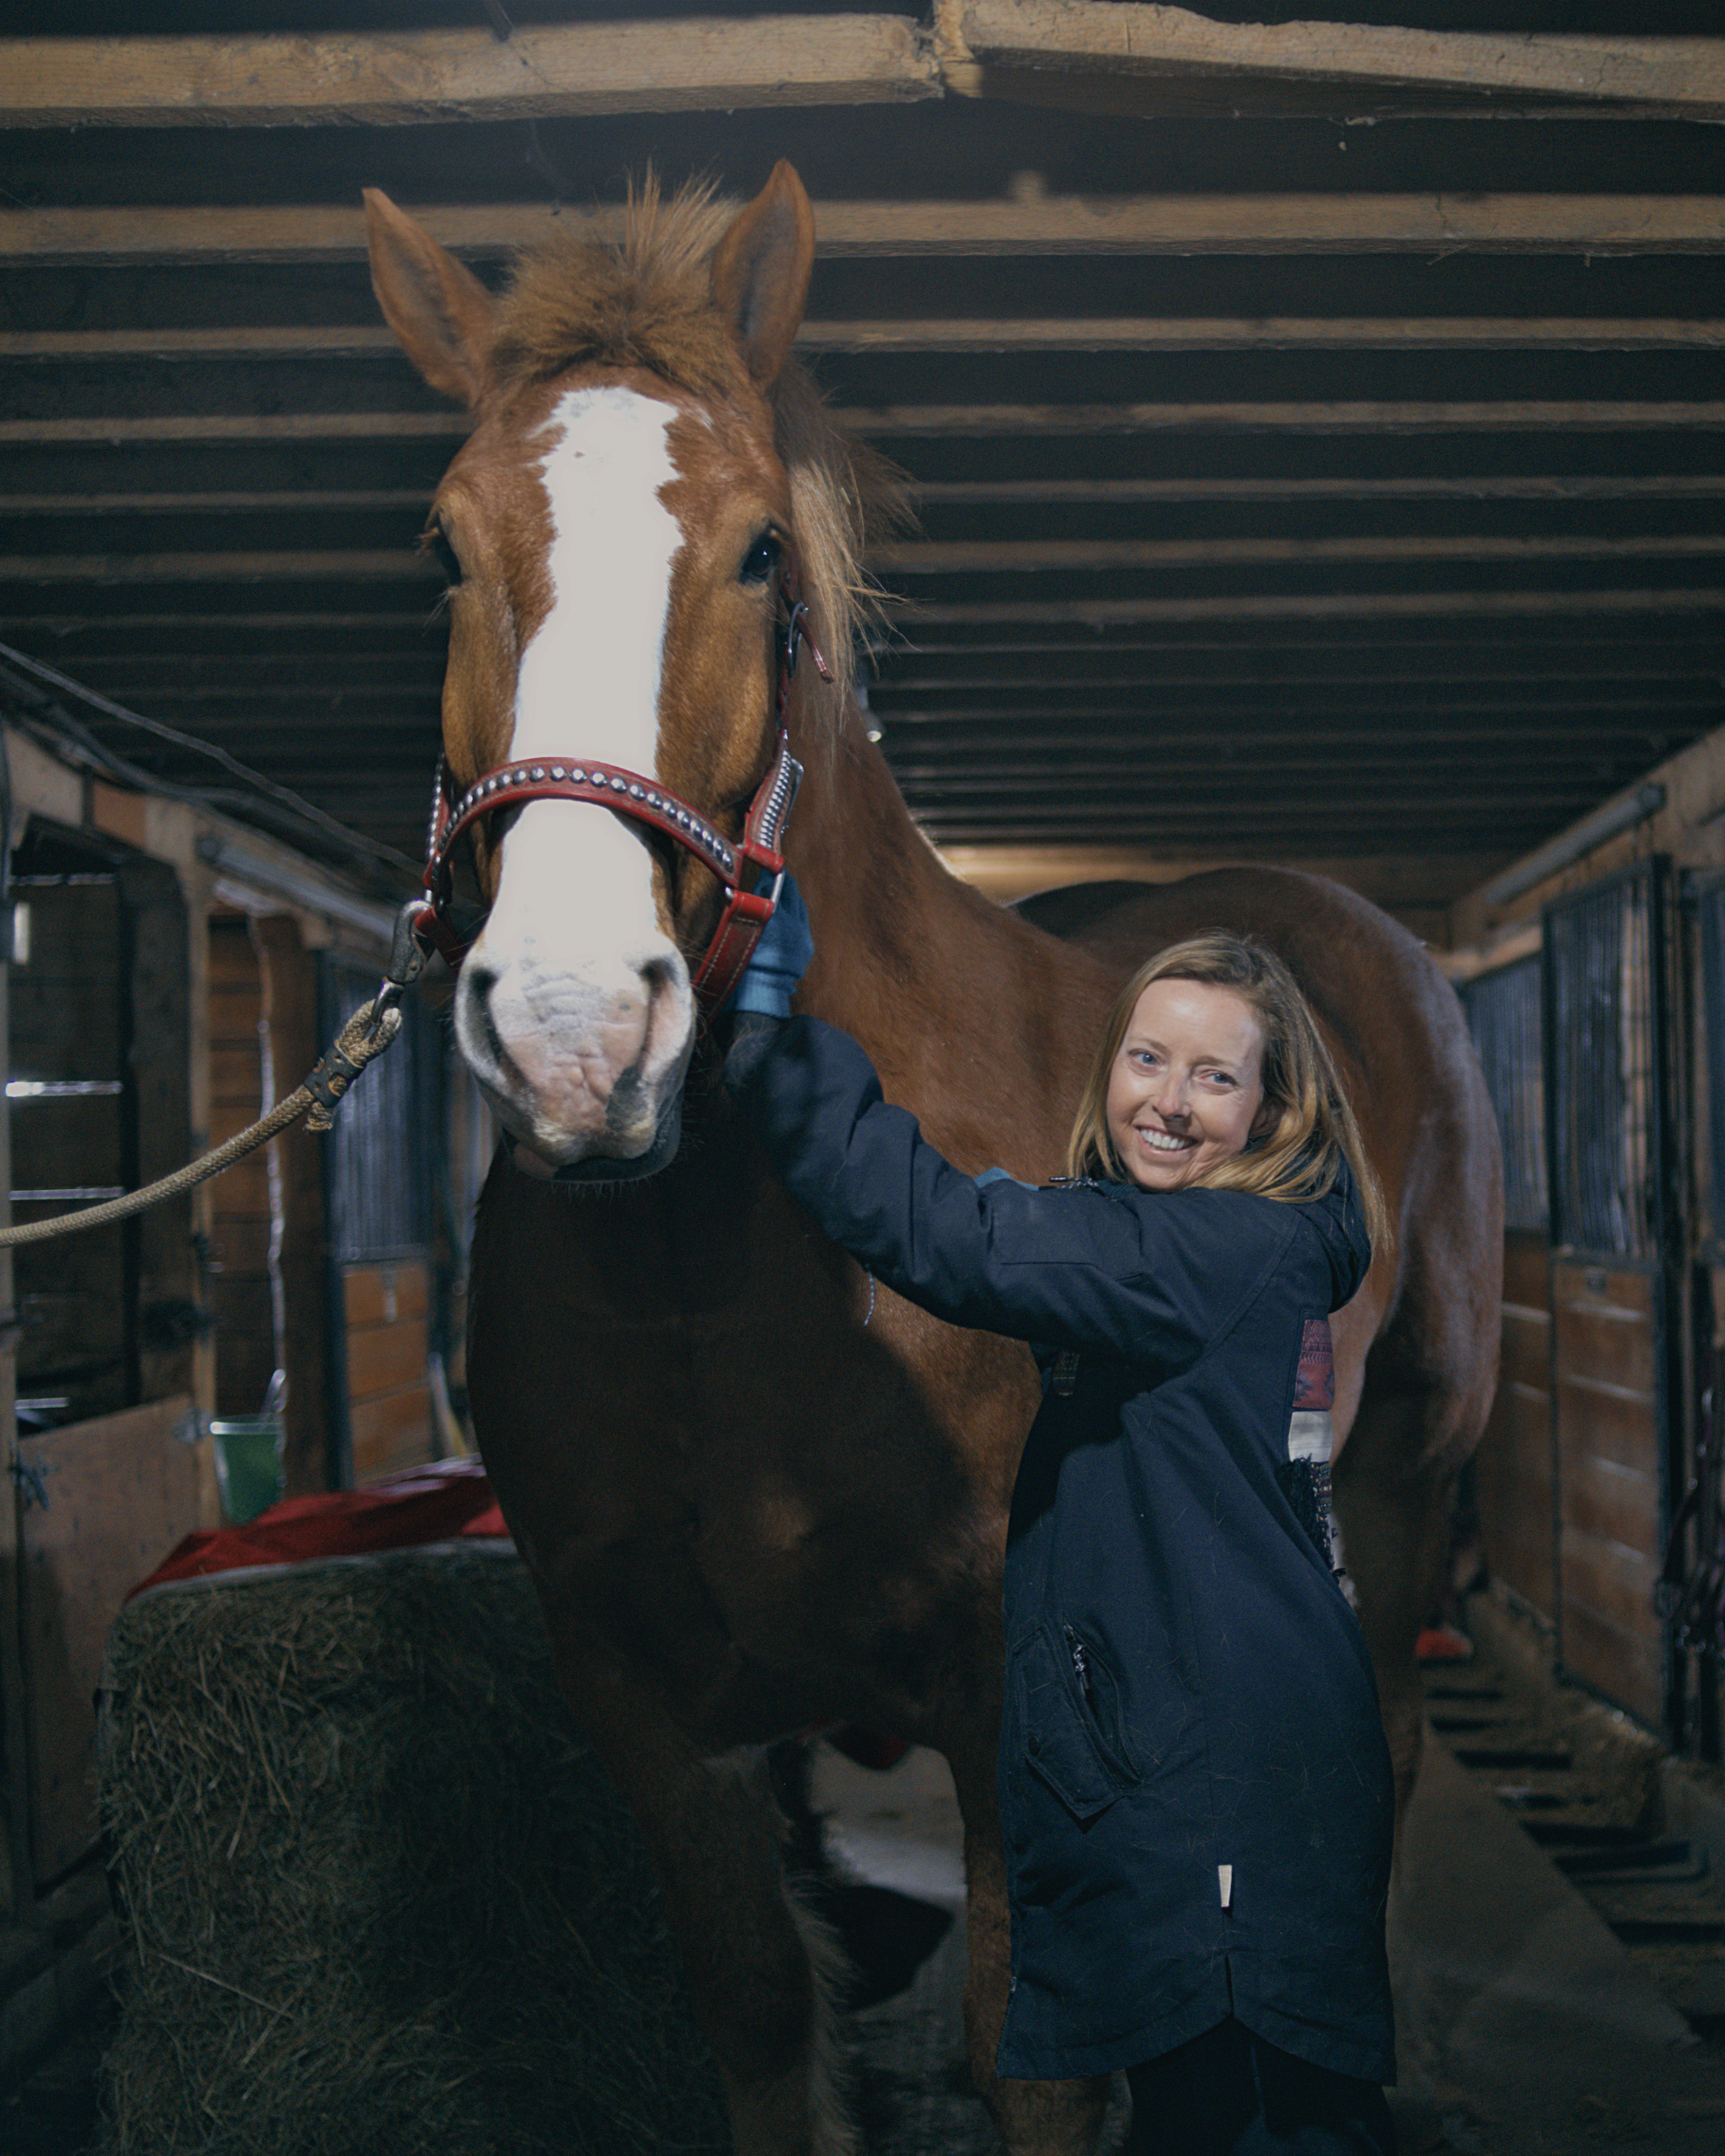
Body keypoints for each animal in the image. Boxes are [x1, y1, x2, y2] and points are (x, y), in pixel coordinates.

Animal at [364, 163, 1503, 2156]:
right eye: (443, 550)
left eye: (758, 552)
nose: (577, 1028)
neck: (708, 1270)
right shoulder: (638, 1691)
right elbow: (757, 2008)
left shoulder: (998, 1690)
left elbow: (1028, 2058)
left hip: (1409, 1480)